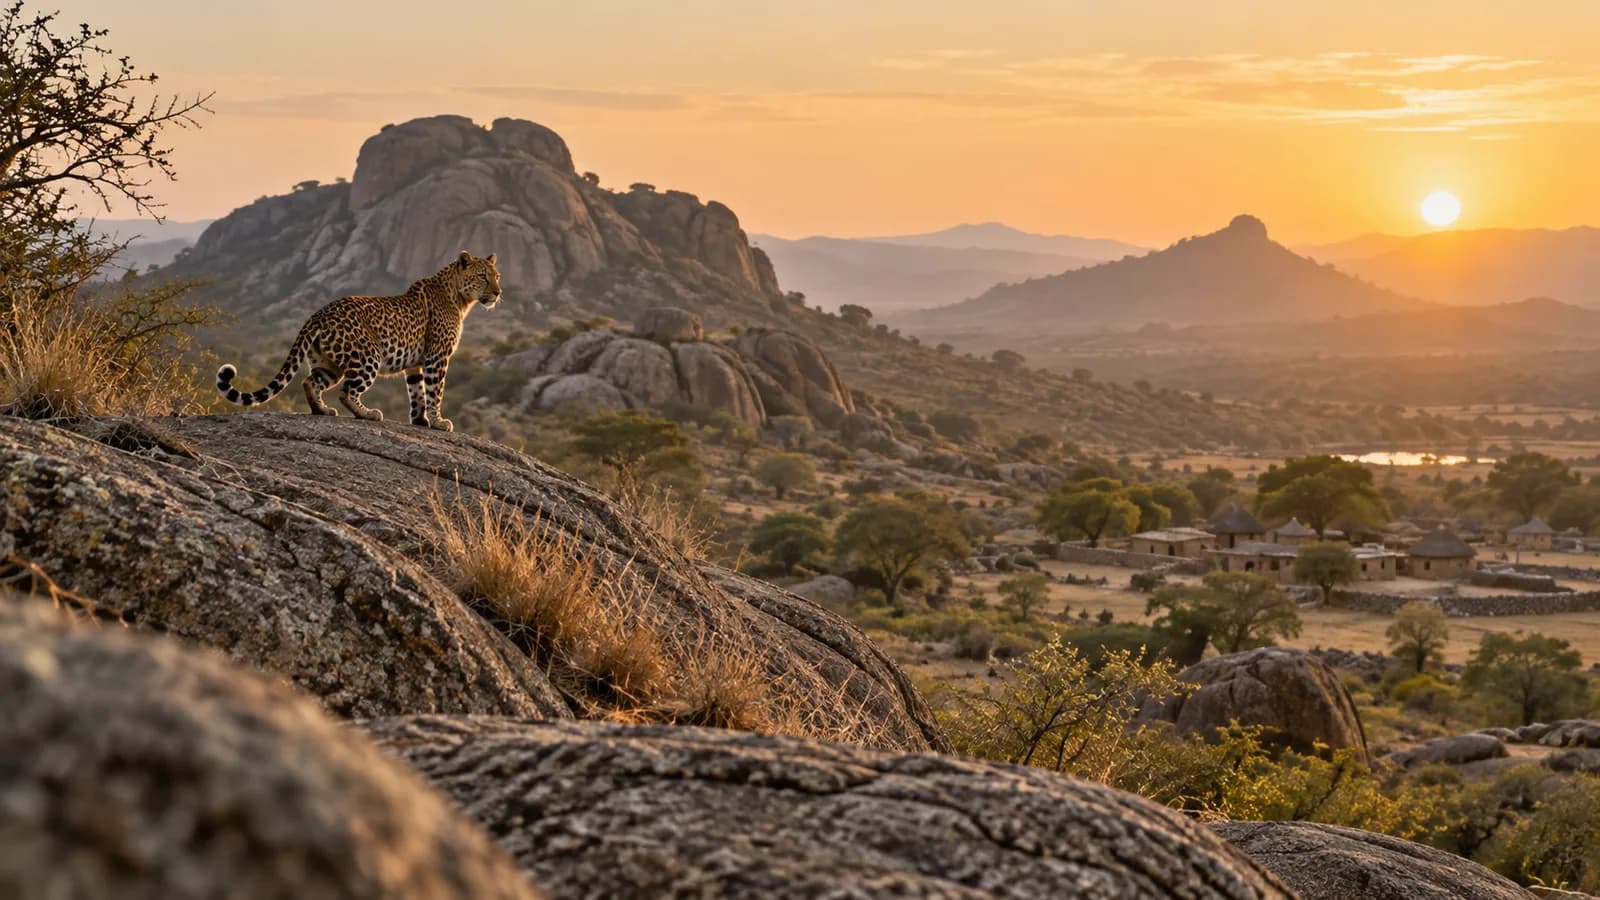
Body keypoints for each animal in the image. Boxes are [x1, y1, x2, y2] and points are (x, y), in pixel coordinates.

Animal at [216, 251, 502, 432]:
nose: (499, 293)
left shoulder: (416, 363)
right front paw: (439, 422)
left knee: (310, 382)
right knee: (346, 391)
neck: (460, 298)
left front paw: (420, 420)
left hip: (329, 363)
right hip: (368, 357)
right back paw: (368, 414)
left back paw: (322, 411)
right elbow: (435, 391)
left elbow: (417, 391)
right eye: (482, 276)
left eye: (497, 276)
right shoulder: (437, 357)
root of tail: (317, 314)